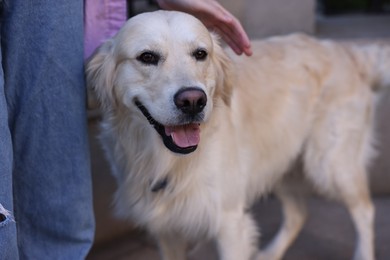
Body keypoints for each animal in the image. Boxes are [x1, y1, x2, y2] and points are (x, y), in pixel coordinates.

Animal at [87, 10, 388, 260]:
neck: (169, 159)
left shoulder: (229, 222)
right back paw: (269, 254)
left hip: (330, 164)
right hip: (281, 160)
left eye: (200, 54)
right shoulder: (166, 229)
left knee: (365, 211)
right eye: (147, 57)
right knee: (299, 213)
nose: (193, 101)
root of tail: (345, 49)